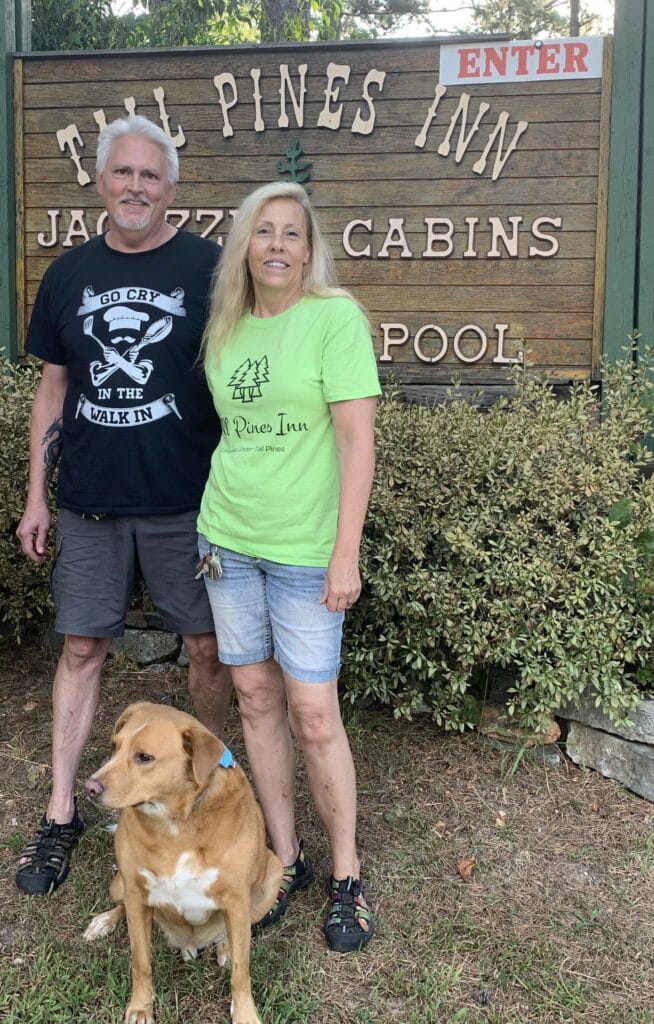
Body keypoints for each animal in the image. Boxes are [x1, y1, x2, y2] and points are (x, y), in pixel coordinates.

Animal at [82, 700, 284, 1024]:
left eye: (144, 757)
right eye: (114, 747)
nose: (90, 787)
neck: (176, 825)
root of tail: (189, 943)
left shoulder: (236, 900)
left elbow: (241, 972)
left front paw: (245, 1014)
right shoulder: (137, 891)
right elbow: (141, 961)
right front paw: (140, 1008)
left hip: (272, 875)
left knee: (232, 936)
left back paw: (224, 946)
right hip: (119, 885)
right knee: (122, 906)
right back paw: (104, 922)